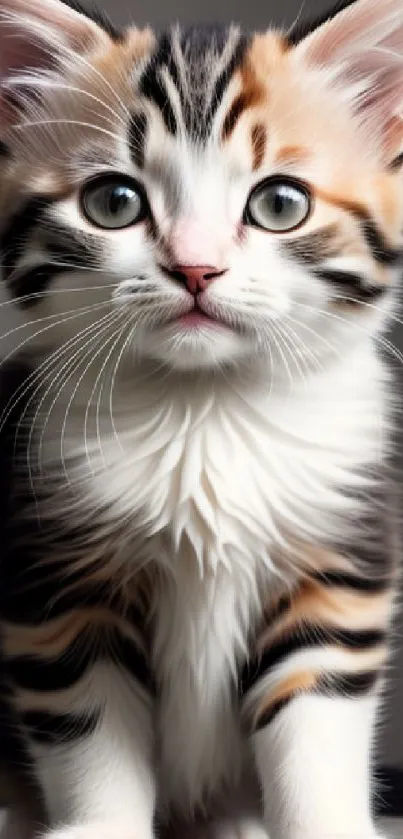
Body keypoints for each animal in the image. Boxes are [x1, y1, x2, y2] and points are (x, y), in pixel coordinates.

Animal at [0, 0, 403, 836]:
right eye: (113, 202)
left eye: (279, 204)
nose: (194, 268)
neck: (205, 404)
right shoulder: (56, 574)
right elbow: (90, 726)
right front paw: (100, 824)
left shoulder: (336, 561)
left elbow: (315, 725)